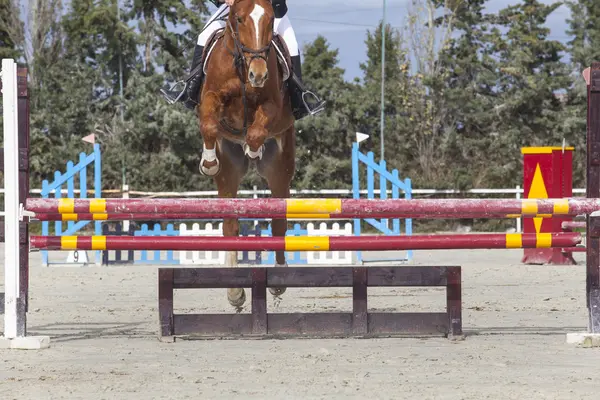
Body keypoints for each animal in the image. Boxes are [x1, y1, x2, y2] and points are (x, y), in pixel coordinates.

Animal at [199, 0, 296, 310]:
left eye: (270, 20)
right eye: (239, 19)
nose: (259, 74)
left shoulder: (273, 104)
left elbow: (255, 131)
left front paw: (254, 147)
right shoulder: (210, 97)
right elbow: (208, 124)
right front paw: (208, 162)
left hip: (280, 171)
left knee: (279, 224)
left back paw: (278, 282)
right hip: (229, 174)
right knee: (230, 225)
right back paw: (234, 291)